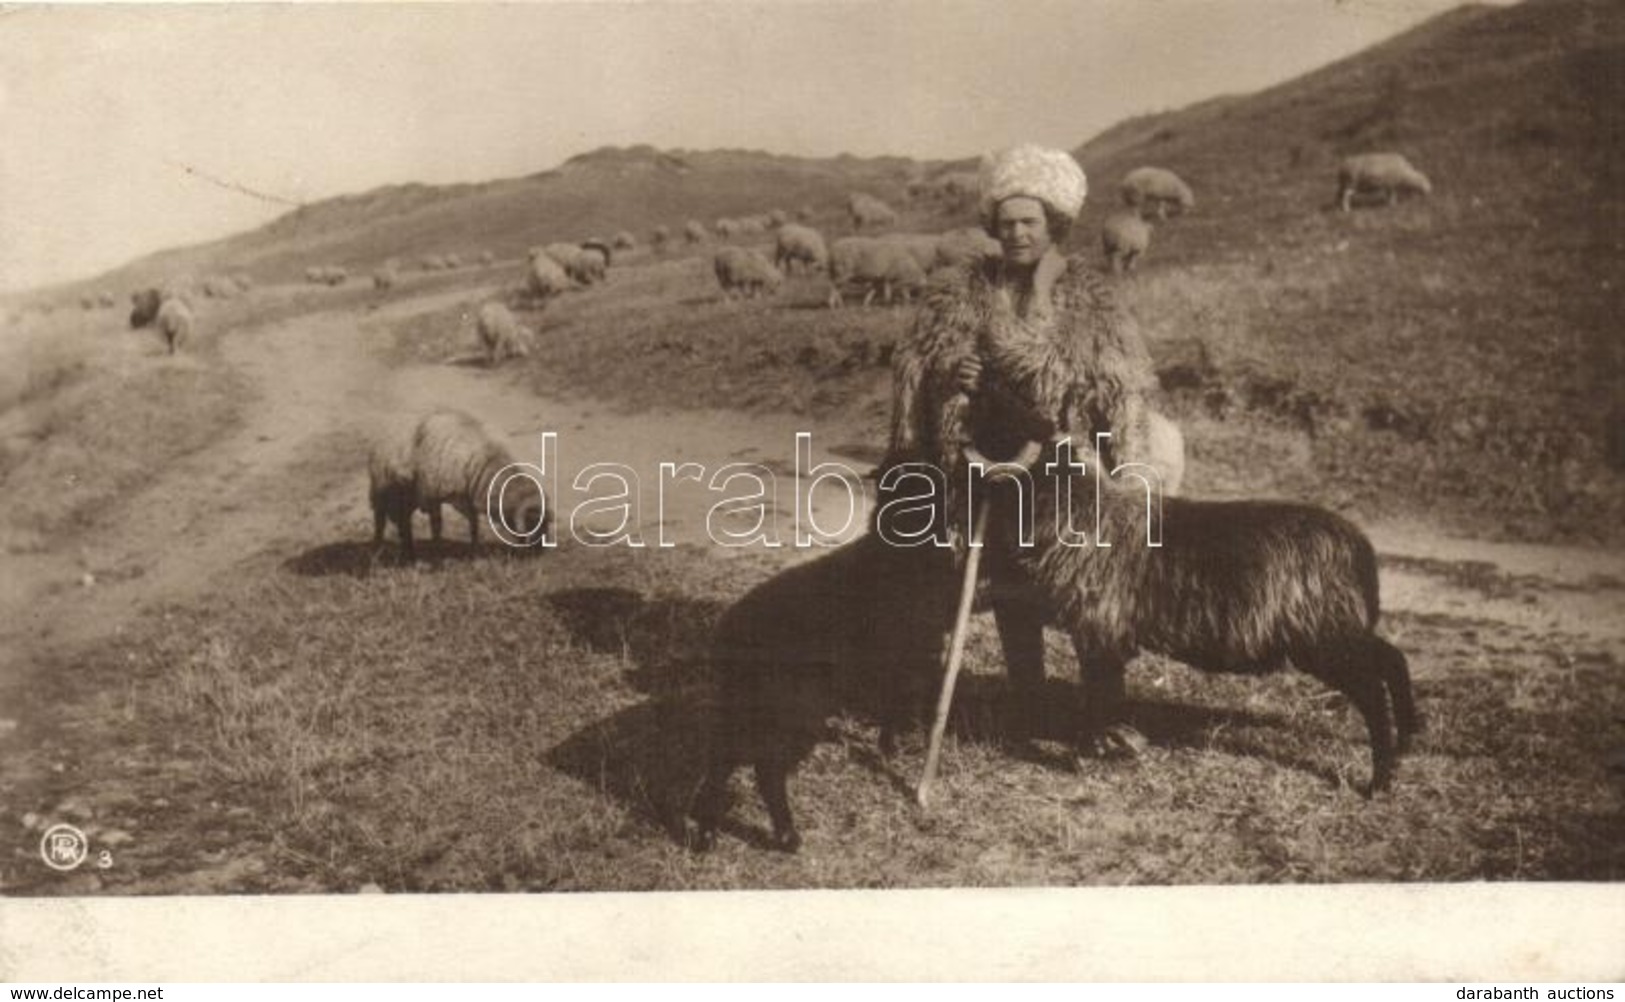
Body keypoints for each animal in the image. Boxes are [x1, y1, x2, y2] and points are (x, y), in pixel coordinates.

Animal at [370, 407, 552, 561]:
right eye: (533, 522)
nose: (540, 554)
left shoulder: (463, 498)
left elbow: (474, 525)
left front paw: (474, 552)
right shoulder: (433, 495)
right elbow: (437, 526)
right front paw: (437, 555)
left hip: (407, 497)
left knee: (403, 522)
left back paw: (408, 553)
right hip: (381, 491)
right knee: (381, 522)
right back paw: (378, 552)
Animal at [692, 532, 955, 850]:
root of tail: (729, 639)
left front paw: (889, 747)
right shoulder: (917, 653)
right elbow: (902, 701)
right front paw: (903, 746)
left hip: (743, 711)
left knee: (722, 759)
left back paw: (706, 831)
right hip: (794, 715)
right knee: (767, 769)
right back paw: (787, 836)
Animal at [975, 435, 1410, 789]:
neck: (1085, 509)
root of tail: (1359, 546)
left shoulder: (1100, 630)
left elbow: (1103, 694)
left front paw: (1095, 748)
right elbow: (1109, 694)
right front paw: (1114, 744)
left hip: (1323, 638)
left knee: (1373, 689)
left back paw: (1380, 779)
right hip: (1339, 628)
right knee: (1392, 659)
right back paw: (1408, 739)